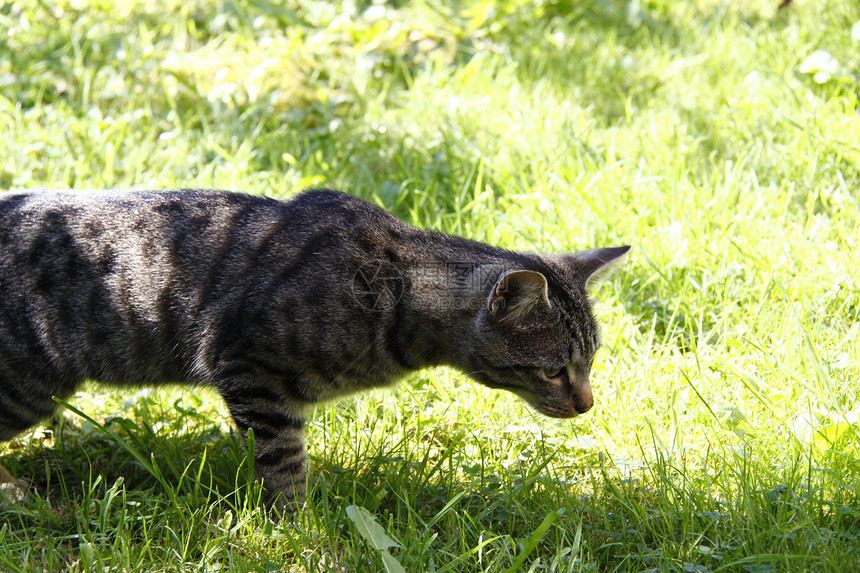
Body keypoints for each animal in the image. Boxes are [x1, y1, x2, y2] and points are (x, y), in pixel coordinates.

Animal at [1, 189, 632, 510]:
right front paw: (299, 523)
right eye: (554, 370)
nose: (587, 404)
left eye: (590, 364)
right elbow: (283, 463)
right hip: (28, 386)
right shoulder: (249, 371)